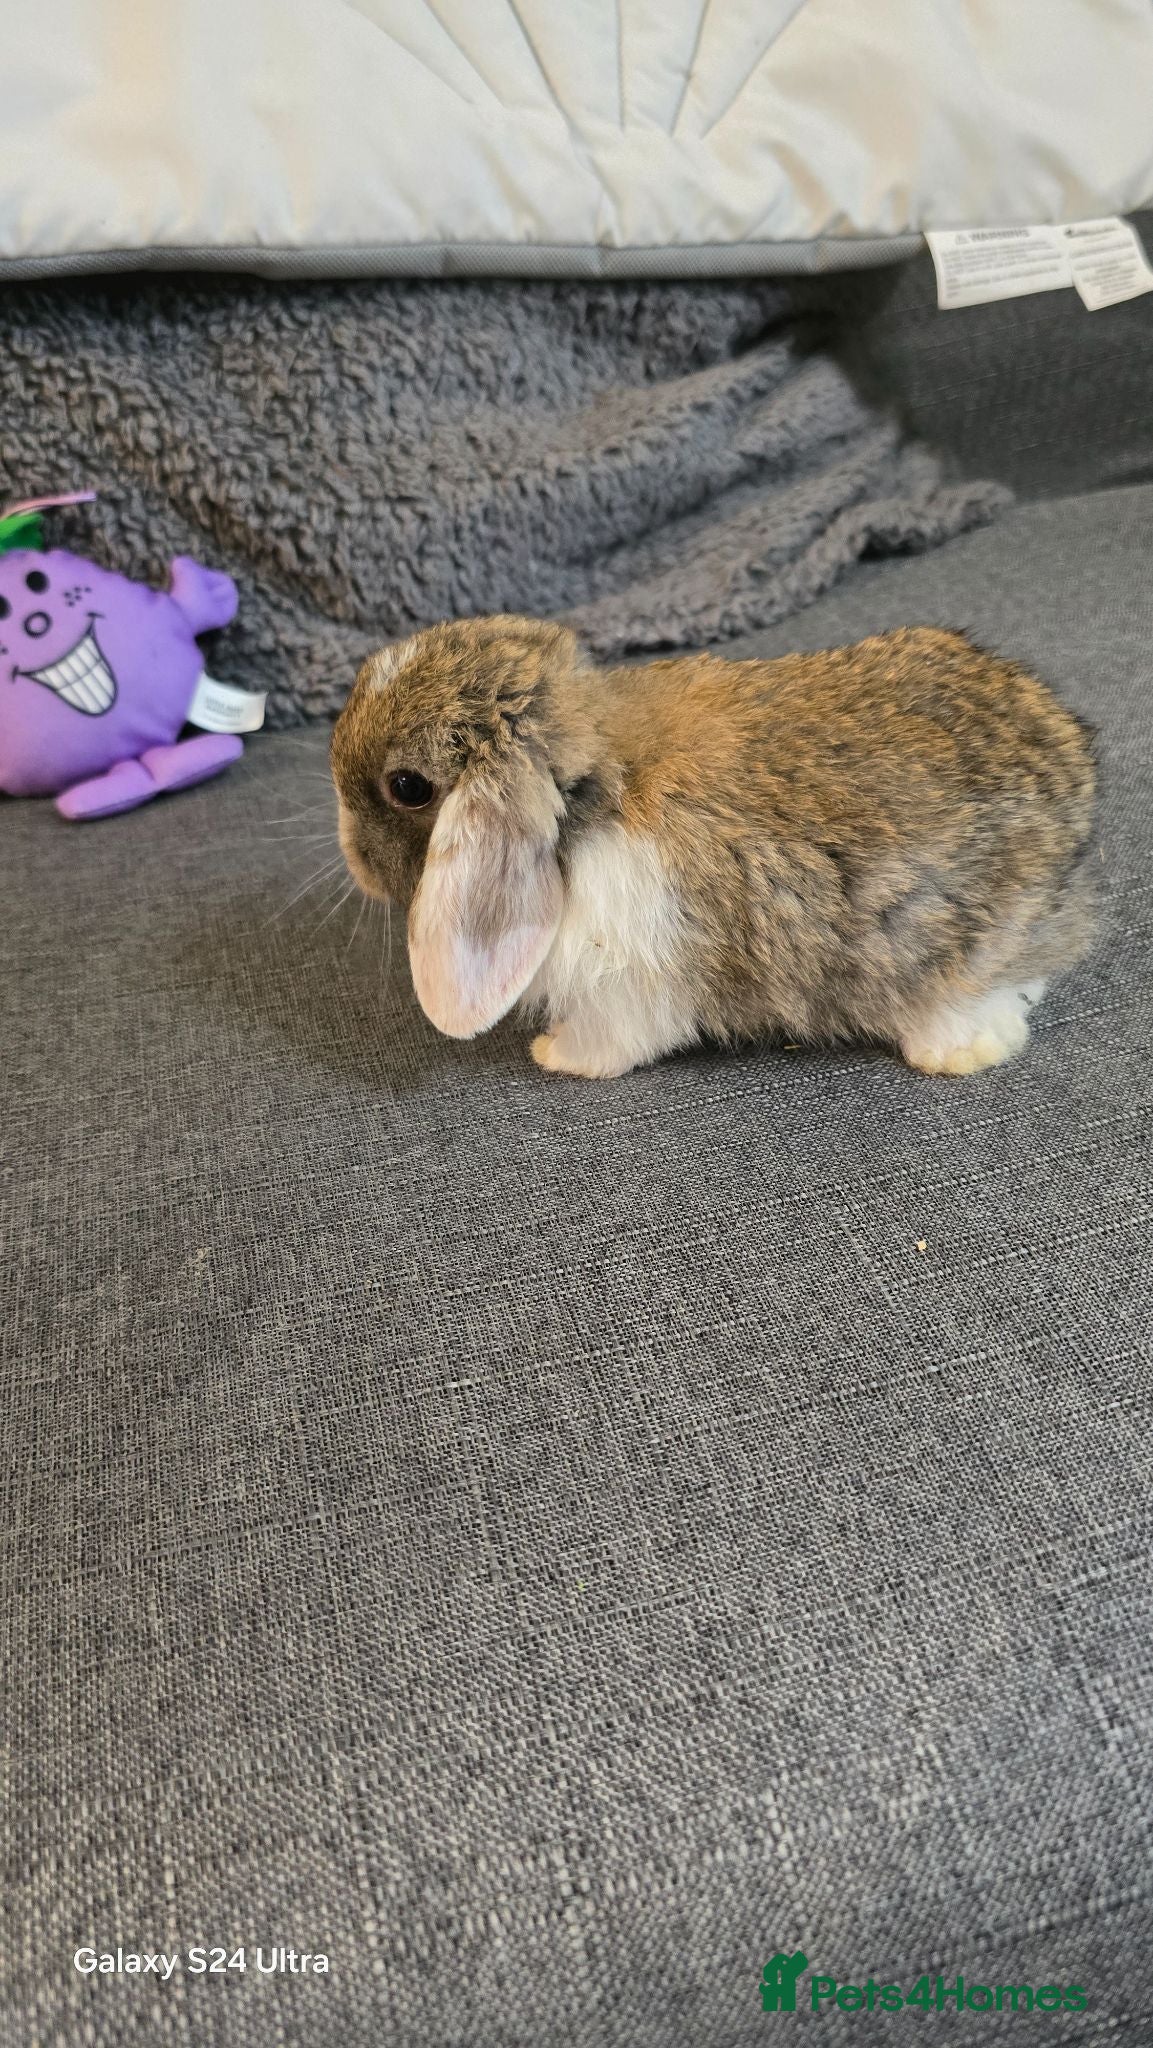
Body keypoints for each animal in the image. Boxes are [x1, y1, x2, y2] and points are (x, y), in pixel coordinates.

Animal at [330, 615, 1097, 1080]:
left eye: (406, 787)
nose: (353, 863)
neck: (592, 784)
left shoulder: (626, 984)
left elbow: (611, 1037)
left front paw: (555, 1055)